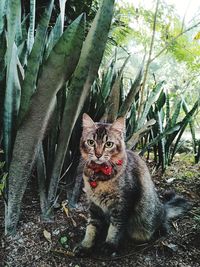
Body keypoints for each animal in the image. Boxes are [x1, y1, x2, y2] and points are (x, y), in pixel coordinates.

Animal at [74, 114, 189, 256]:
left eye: (109, 144)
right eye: (91, 142)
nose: (98, 155)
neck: (99, 175)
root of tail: (163, 208)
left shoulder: (123, 204)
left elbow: (115, 228)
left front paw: (109, 246)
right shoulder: (94, 205)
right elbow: (91, 227)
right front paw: (86, 246)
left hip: (146, 221)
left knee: (161, 226)